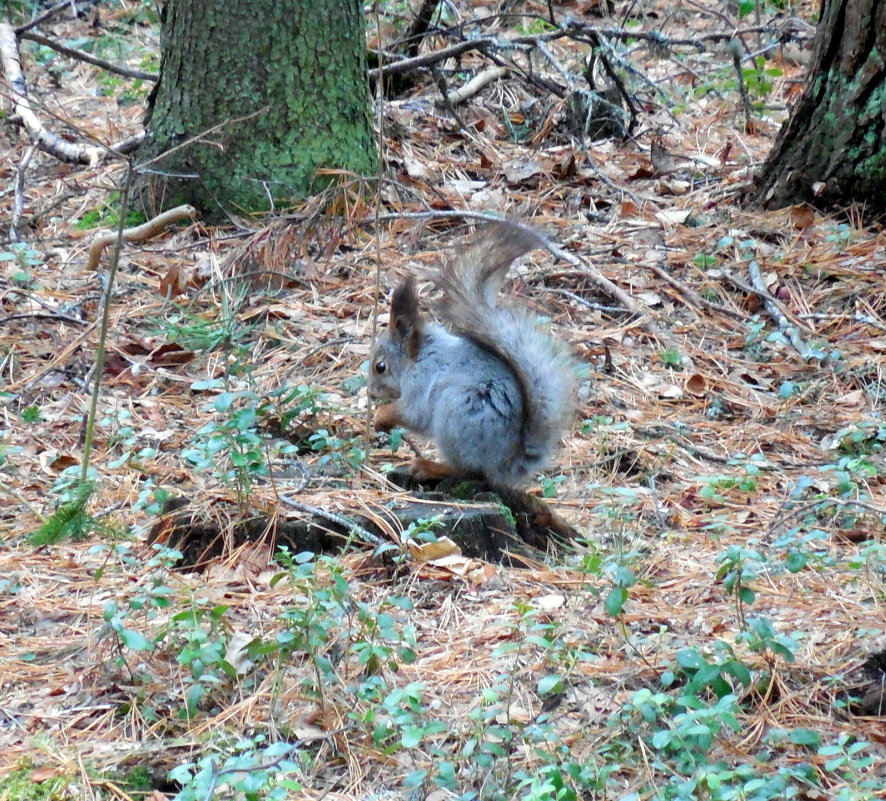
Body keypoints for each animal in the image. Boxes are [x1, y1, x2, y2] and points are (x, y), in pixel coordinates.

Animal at [366, 222, 580, 490]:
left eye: (380, 366)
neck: (418, 356)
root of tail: (505, 465)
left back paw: (428, 467)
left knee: (467, 471)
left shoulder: (422, 382)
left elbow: (415, 415)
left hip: (455, 416)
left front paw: (382, 416)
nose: (371, 393)